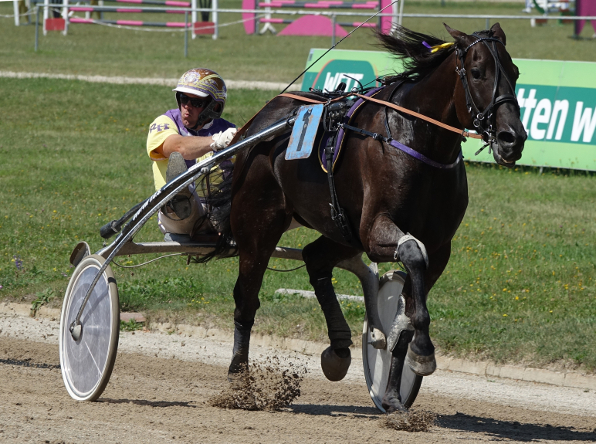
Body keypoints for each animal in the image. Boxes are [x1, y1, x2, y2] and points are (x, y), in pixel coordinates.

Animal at [221, 23, 524, 412]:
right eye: (477, 72)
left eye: (515, 72)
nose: (512, 138)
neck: (418, 142)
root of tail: (256, 125)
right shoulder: (375, 232)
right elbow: (412, 253)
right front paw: (422, 350)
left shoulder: (439, 248)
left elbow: (410, 308)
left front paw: (394, 391)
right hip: (259, 225)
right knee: (246, 299)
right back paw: (238, 383)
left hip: (339, 229)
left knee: (314, 258)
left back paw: (338, 349)